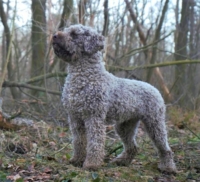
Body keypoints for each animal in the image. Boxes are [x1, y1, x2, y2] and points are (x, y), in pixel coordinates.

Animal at [52, 24, 177, 172]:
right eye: (66, 30)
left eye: (74, 34)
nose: (54, 36)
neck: (85, 77)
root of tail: (155, 89)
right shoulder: (75, 118)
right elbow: (78, 141)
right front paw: (76, 160)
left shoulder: (94, 117)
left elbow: (95, 143)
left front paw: (91, 164)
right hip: (124, 126)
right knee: (132, 147)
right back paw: (121, 161)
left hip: (154, 123)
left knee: (165, 148)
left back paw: (168, 167)